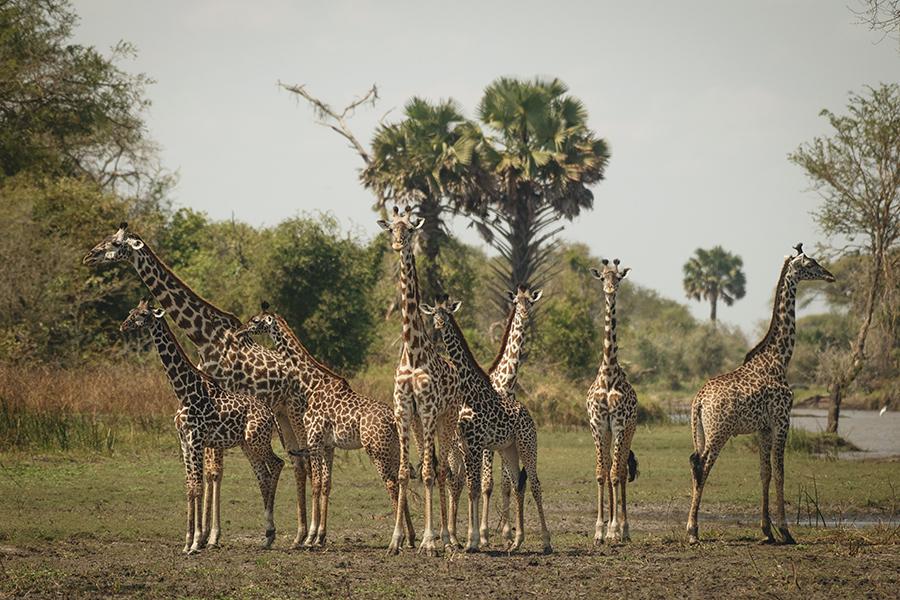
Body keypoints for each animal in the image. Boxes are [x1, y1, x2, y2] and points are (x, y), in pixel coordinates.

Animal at [120, 299, 283, 554]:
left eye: (144, 314)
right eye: (131, 312)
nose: (123, 326)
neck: (183, 391)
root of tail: (270, 413)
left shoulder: (196, 439)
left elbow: (197, 486)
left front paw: (196, 541)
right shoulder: (184, 441)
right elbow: (189, 486)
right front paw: (187, 541)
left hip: (258, 441)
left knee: (277, 464)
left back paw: (270, 533)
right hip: (247, 445)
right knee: (263, 476)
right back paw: (267, 537)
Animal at [236, 303, 416, 548]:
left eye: (255, 321)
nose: (240, 331)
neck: (311, 384)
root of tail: (392, 419)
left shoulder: (314, 440)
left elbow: (316, 483)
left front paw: (310, 537)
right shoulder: (328, 445)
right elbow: (326, 484)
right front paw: (320, 536)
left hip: (377, 450)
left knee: (391, 483)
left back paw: (397, 539)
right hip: (394, 449)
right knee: (401, 478)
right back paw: (411, 538)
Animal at [422, 295, 552, 554]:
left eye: (447, 313)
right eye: (434, 313)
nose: (439, 324)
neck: (469, 391)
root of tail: (528, 414)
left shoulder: (477, 444)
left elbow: (479, 486)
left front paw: (475, 540)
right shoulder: (467, 444)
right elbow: (471, 486)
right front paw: (470, 539)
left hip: (527, 445)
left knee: (534, 483)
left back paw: (545, 542)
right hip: (507, 449)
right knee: (514, 483)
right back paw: (515, 542)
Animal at [686, 244, 835, 545]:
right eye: (811, 263)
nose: (830, 275)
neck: (780, 359)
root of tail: (699, 400)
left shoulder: (763, 428)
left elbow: (764, 473)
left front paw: (767, 531)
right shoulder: (782, 420)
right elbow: (780, 472)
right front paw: (786, 531)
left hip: (701, 431)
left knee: (694, 464)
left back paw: (692, 528)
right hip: (719, 431)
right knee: (702, 467)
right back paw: (693, 531)